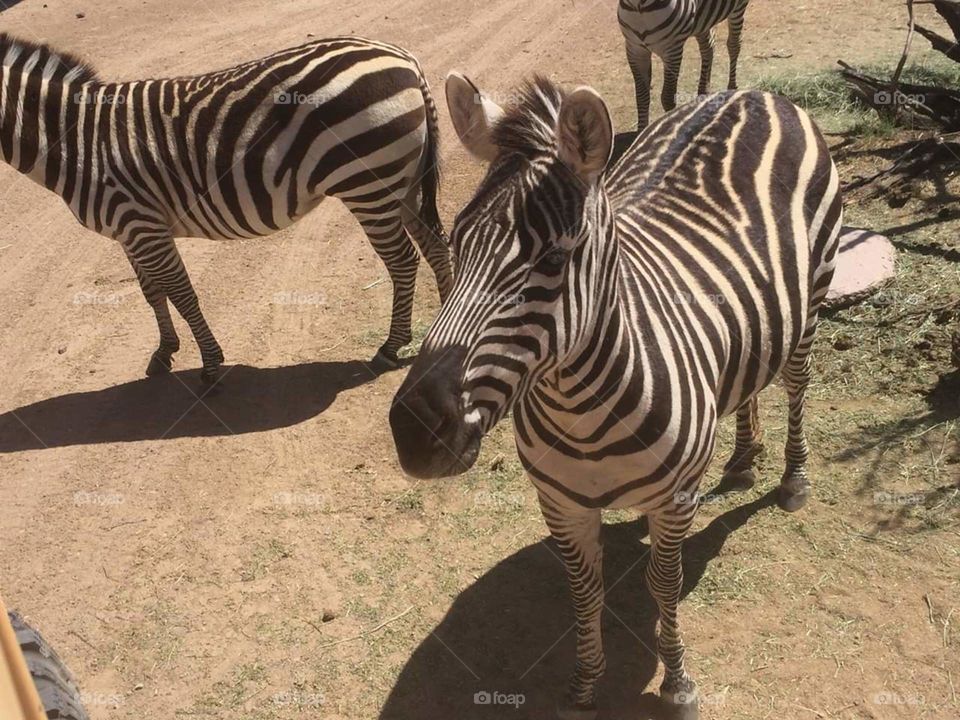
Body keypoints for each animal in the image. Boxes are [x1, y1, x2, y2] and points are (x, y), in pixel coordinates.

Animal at [0, 33, 452, 383]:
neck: (77, 141)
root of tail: (404, 59)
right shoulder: (130, 230)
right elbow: (152, 292)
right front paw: (164, 352)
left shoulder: (141, 224)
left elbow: (182, 293)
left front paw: (211, 365)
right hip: (402, 183)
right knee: (436, 246)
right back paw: (446, 331)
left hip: (369, 185)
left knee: (403, 261)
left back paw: (391, 349)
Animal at [390, 74, 841, 718]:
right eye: (455, 242)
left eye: (554, 258)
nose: (416, 430)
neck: (580, 414)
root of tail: (748, 93)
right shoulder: (561, 503)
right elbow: (585, 591)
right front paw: (583, 688)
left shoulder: (674, 500)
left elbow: (663, 585)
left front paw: (678, 683)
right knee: (750, 377)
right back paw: (740, 460)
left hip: (814, 293)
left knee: (797, 383)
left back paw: (792, 479)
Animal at [619, 0, 750, 128]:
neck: (638, 6)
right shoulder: (635, 50)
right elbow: (641, 97)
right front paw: (641, 131)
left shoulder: (673, 50)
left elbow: (667, 98)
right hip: (703, 20)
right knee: (708, 48)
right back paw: (703, 92)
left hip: (738, 8)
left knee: (734, 45)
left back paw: (732, 86)